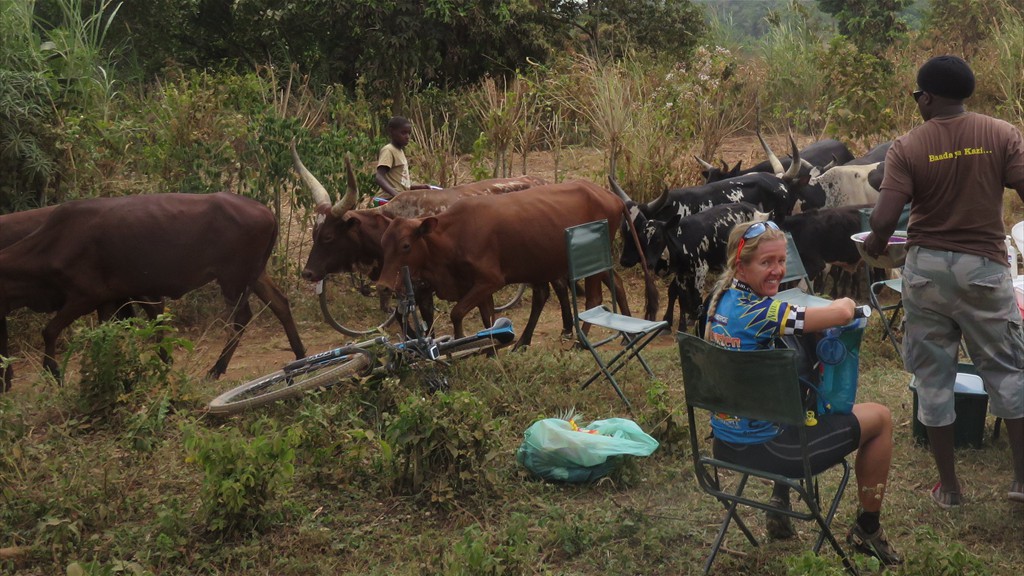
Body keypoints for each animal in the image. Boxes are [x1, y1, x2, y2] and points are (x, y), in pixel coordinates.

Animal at [0, 189, 303, 385]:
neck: (51, 244)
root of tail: (268, 213)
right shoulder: (110, 299)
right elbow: (114, 333)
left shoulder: (84, 297)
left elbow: (49, 330)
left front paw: (53, 372)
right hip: (254, 274)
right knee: (280, 303)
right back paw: (299, 354)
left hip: (233, 279)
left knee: (240, 318)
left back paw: (216, 369)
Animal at [376, 179, 630, 344]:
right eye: (383, 243)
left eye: (406, 245)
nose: (383, 286)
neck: (452, 235)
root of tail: (613, 198)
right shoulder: (476, 286)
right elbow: (487, 318)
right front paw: (491, 348)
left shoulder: (489, 281)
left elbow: (457, 313)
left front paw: (459, 342)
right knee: (613, 284)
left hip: (591, 259)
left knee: (594, 298)